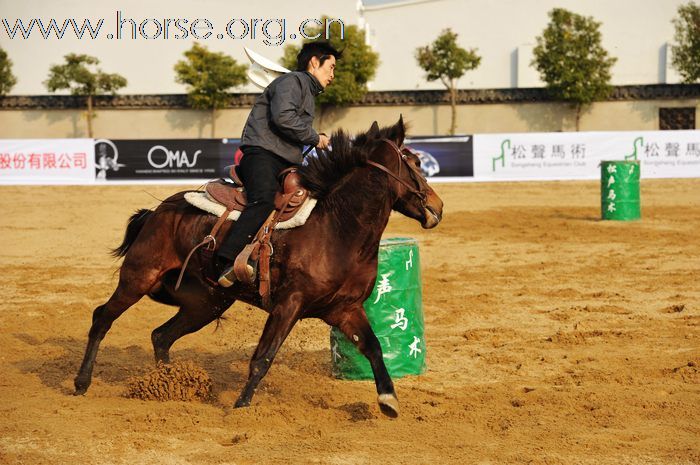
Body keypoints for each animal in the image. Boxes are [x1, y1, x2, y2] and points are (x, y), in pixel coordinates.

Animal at [72, 117, 442, 416]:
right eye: (414, 162)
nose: (437, 206)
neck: (337, 227)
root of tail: (159, 211)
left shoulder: (345, 309)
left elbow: (374, 347)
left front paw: (388, 400)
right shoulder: (288, 305)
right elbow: (263, 357)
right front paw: (241, 406)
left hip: (206, 303)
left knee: (161, 336)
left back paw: (170, 384)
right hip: (139, 277)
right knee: (102, 318)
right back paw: (81, 382)